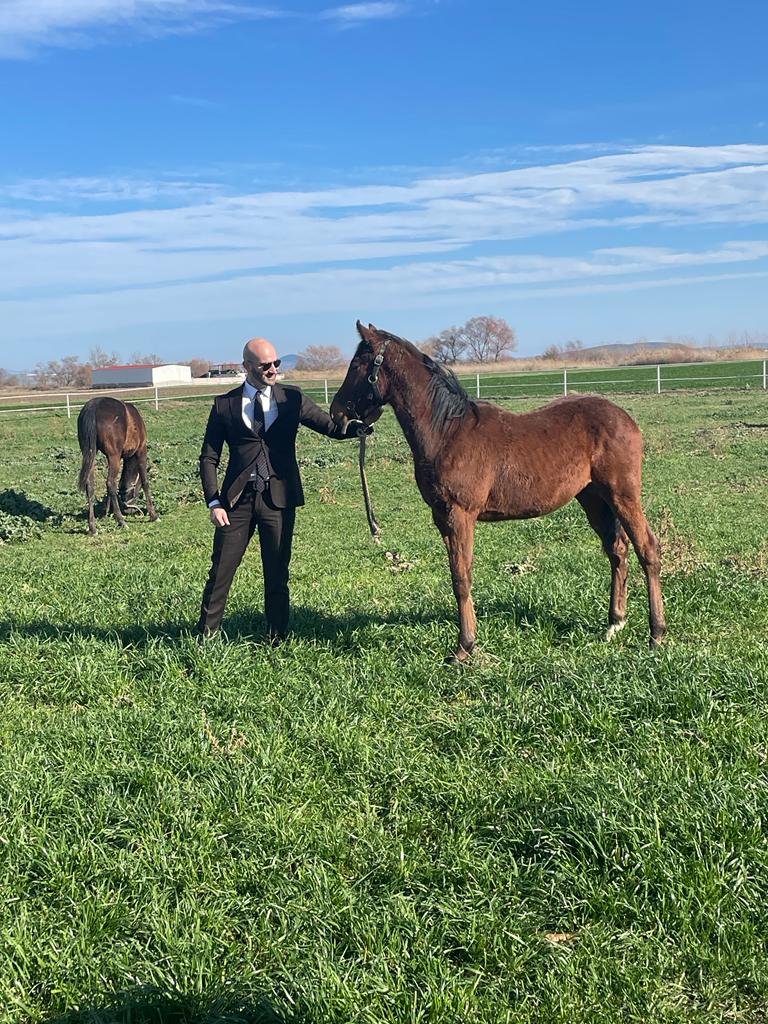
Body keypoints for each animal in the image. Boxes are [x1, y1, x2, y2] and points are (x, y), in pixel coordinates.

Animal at [77, 396, 159, 535]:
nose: (129, 510)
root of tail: (94, 407)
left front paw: (106, 513)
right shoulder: (141, 450)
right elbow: (145, 481)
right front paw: (153, 515)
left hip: (89, 453)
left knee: (90, 485)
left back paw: (93, 527)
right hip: (114, 456)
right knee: (110, 483)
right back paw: (121, 521)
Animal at [330, 322, 666, 664]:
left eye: (357, 365)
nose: (337, 414)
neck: (447, 432)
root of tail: (625, 418)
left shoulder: (460, 515)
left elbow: (461, 576)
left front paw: (464, 647)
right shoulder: (442, 518)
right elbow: (457, 575)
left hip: (622, 495)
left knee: (647, 548)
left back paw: (656, 634)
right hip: (593, 499)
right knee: (617, 550)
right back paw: (615, 624)